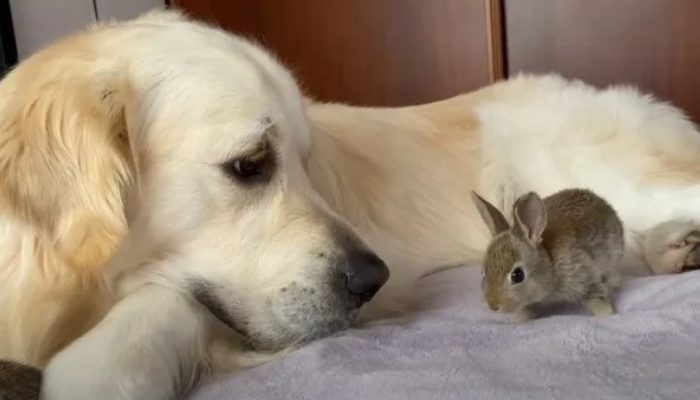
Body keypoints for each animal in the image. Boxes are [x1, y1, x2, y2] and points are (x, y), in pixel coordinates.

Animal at [471, 188, 624, 323]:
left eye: (518, 275)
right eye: (483, 271)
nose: (493, 306)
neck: (550, 263)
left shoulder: (584, 277)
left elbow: (597, 298)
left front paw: (608, 315)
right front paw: (518, 321)